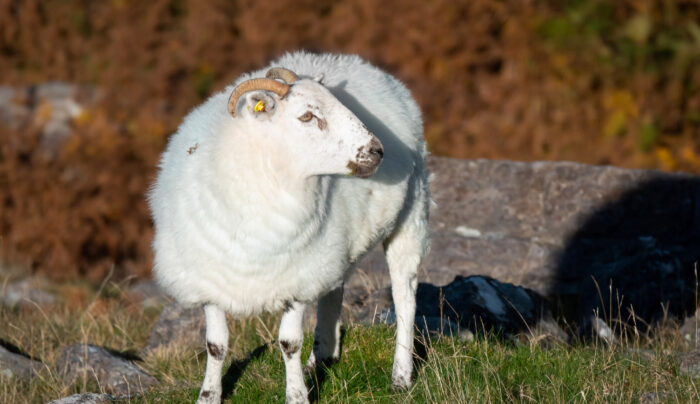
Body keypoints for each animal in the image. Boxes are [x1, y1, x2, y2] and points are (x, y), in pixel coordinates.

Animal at [150, 51, 430, 404]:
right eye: (307, 116)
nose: (376, 151)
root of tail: (358, 64)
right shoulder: (211, 283)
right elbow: (216, 346)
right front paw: (208, 395)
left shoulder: (296, 279)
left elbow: (289, 343)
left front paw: (296, 395)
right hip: (336, 248)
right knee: (334, 292)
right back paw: (321, 358)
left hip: (410, 217)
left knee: (405, 299)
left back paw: (400, 377)